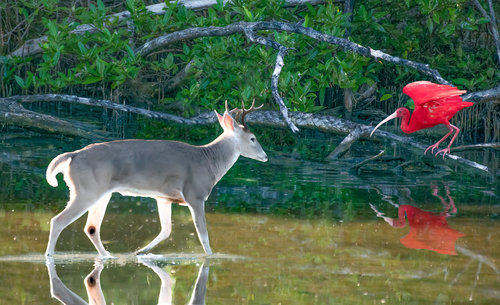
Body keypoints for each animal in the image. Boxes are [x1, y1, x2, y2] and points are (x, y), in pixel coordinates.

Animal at [45, 101, 268, 255]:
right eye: (253, 138)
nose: (265, 156)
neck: (209, 161)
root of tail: (72, 156)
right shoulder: (195, 195)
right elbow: (202, 233)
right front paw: (211, 257)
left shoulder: (164, 197)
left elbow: (166, 230)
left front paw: (139, 252)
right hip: (86, 190)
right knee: (58, 220)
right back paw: (49, 256)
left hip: (101, 193)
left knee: (91, 228)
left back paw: (107, 255)